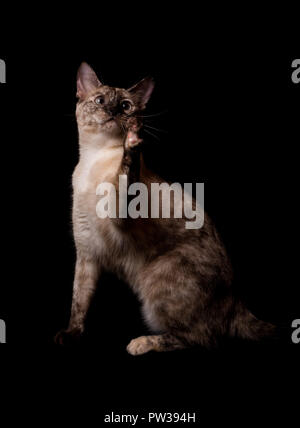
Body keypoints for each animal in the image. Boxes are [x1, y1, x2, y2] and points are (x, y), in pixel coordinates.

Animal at [54, 61, 274, 352]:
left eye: (125, 106)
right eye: (100, 101)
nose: (113, 111)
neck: (94, 161)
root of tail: (237, 299)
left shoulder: (120, 216)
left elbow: (127, 172)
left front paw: (132, 143)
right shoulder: (87, 253)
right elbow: (79, 302)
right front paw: (70, 335)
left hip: (156, 281)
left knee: (203, 337)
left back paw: (141, 343)